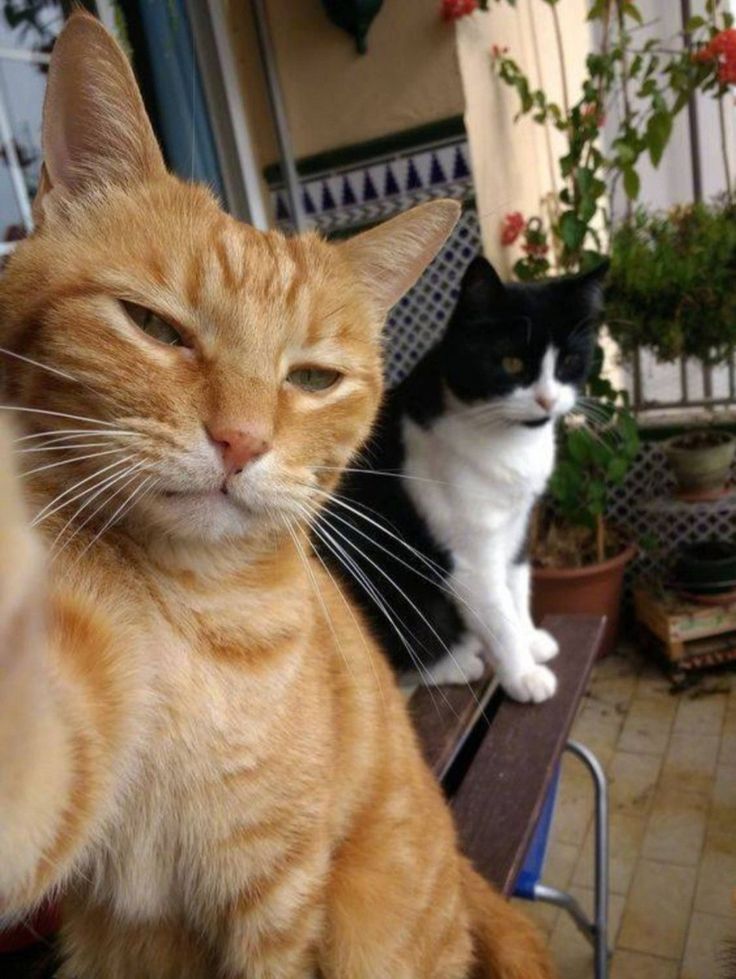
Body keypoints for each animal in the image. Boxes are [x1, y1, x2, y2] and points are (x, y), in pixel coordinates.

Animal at [324, 256, 608, 704]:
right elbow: (499, 617)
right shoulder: (470, 558)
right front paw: (524, 675)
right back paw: (456, 663)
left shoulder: (516, 526)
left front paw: (531, 641)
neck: (507, 441)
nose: (546, 400)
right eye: (511, 364)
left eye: (568, 362)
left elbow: (517, 589)